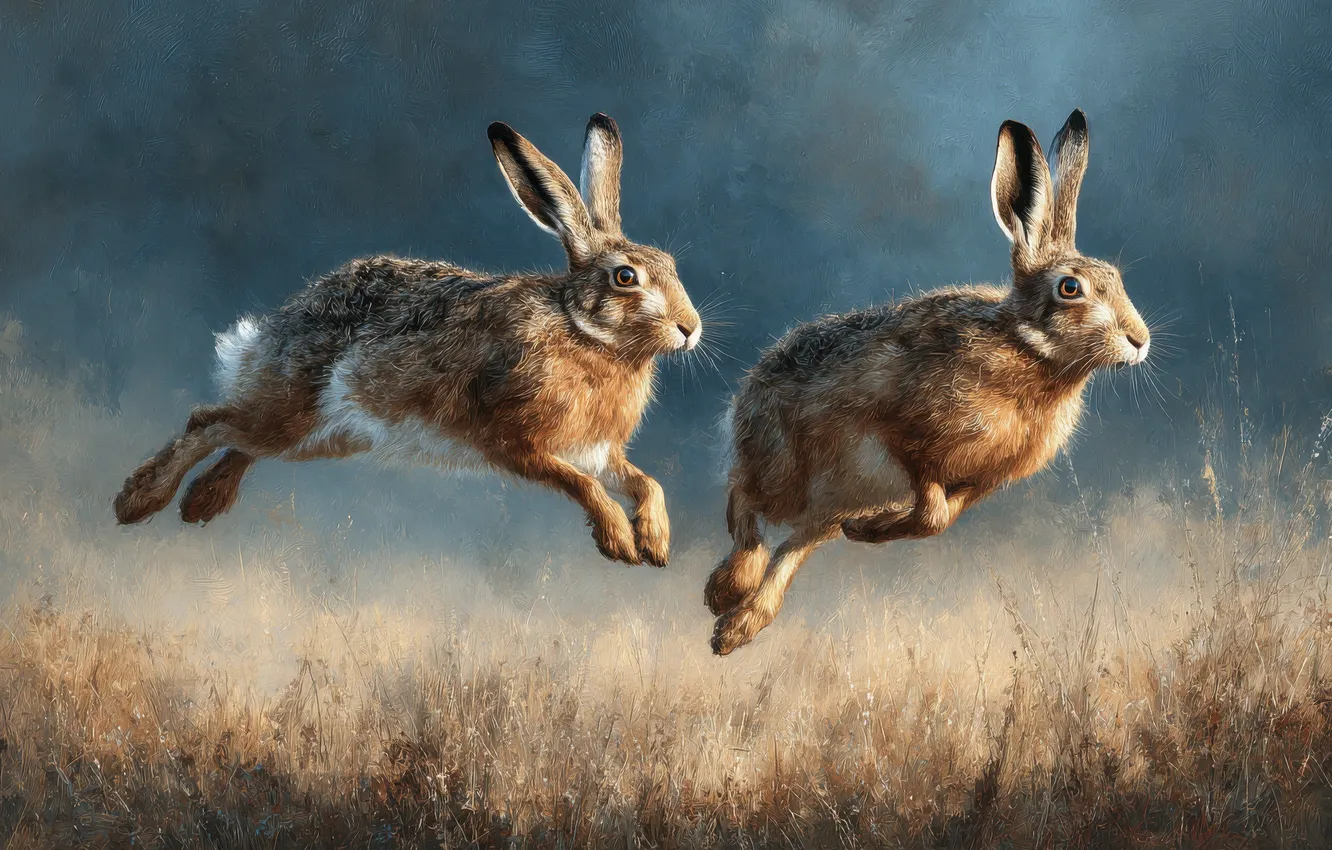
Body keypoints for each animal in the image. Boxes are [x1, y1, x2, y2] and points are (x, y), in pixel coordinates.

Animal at [113, 113, 702, 567]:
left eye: (672, 266)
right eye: (625, 277)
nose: (690, 328)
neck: (585, 333)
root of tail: (274, 330)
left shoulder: (596, 450)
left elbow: (643, 481)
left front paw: (655, 542)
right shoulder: (518, 443)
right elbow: (585, 487)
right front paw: (619, 541)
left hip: (323, 437)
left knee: (240, 440)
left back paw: (203, 502)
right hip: (292, 415)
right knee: (210, 422)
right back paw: (139, 501)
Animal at [706, 109, 1150, 654]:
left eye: (1118, 279)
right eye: (1071, 288)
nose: (1139, 340)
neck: (1030, 354)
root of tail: (747, 397)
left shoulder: (980, 481)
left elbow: (939, 521)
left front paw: (869, 530)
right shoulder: (909, 440)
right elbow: (931, 511)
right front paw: (872, 529)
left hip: (825, 505)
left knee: (790, 548)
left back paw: (739, 623)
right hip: (785, 468)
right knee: (743, 500)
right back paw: (728, 588)